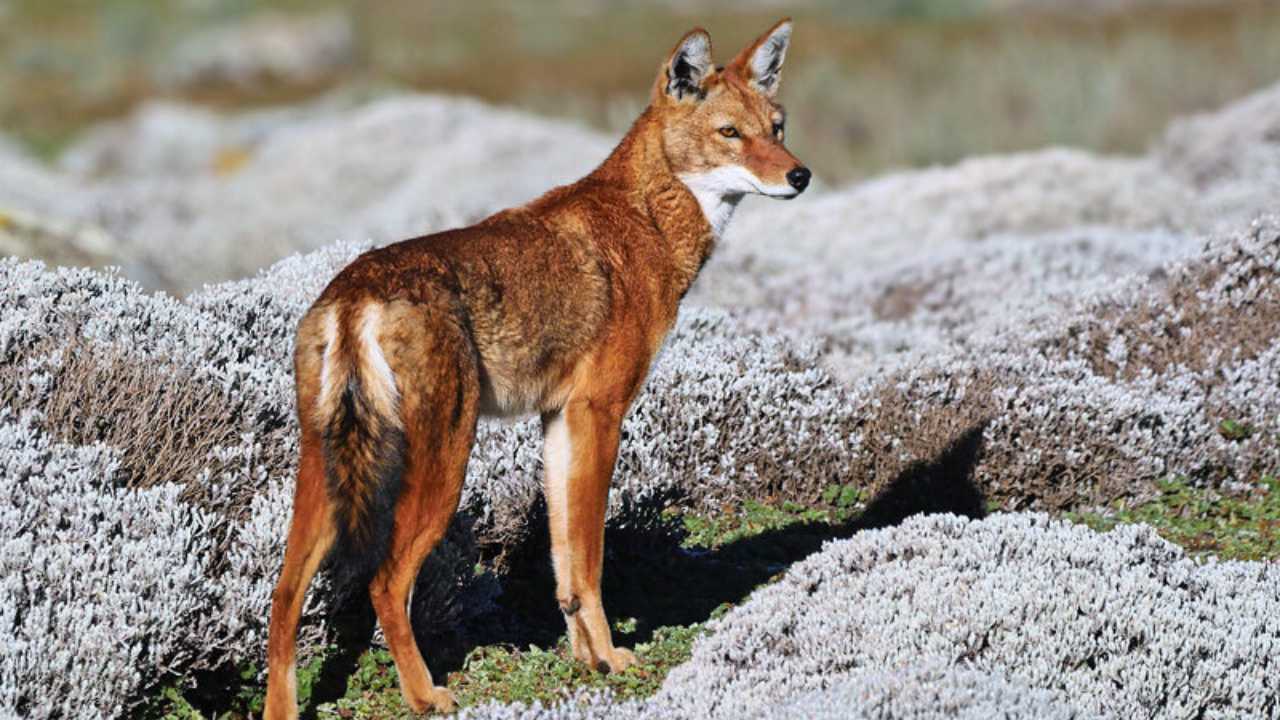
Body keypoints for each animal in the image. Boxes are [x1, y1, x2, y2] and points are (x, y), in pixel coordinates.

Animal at [264, 19, 808, 717]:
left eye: (778, 126)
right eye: (731, 133)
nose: (800, 175)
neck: (647, 219)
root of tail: (355, 289)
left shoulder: (557, 420)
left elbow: (564, 562)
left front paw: (587, 657)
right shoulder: (600, 413)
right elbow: (592, 554)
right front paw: (612, 659)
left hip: (323, 470)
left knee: (283, 595)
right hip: (445, 468)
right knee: (384, 583)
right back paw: (427, 694)